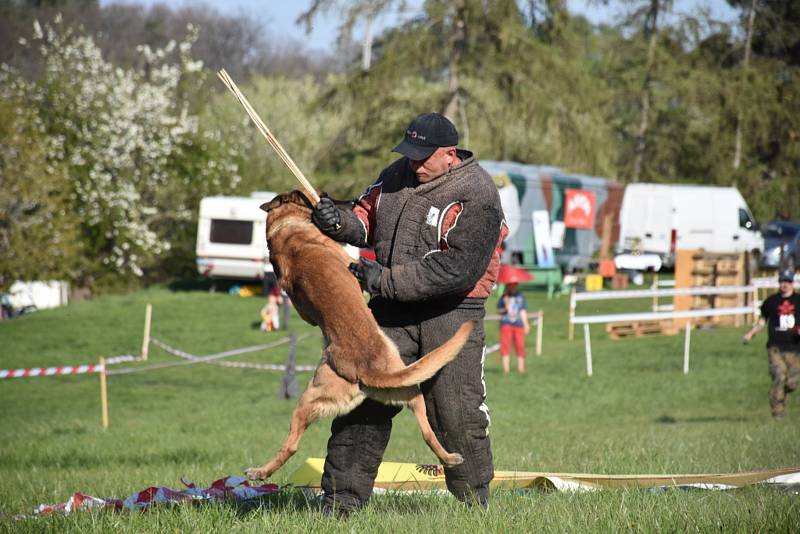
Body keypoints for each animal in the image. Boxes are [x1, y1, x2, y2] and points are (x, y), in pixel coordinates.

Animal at [247, 192, 472, 482]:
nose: (335, 198)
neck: (285, 228)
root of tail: (365, 371)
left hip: (406, 393)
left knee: (427, 433)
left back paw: (450, 458)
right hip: (313, 399)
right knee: (291, 446)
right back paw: (260, 472)